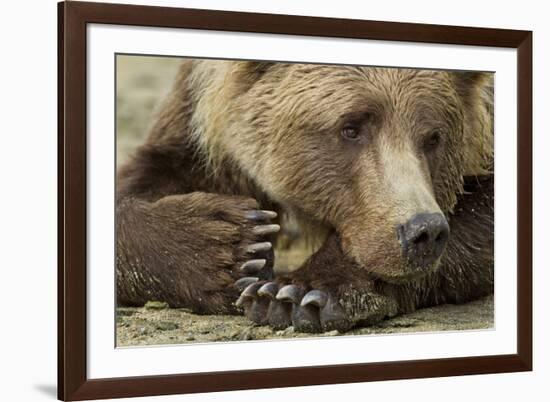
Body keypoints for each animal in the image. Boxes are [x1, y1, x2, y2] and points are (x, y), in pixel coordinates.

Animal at [116, 59, 496, 332]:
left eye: (433, 137)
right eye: (350, 128)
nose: (423, 231)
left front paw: (298, 294)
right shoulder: (197, 123)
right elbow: (146, 178)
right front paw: (232, 244)